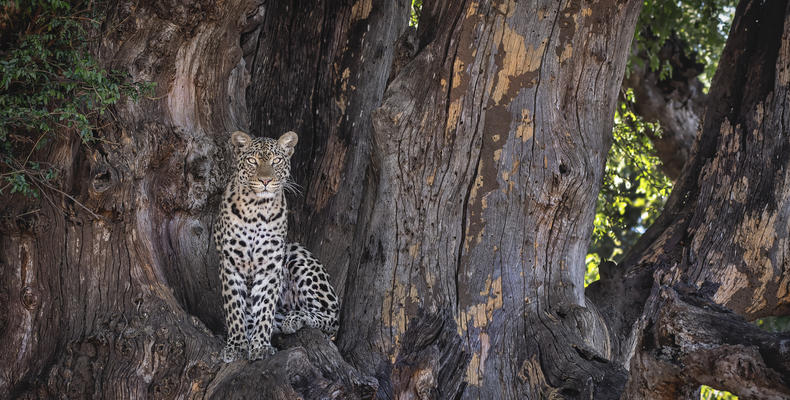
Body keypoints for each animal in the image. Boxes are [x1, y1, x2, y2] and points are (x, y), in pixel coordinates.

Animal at [214, 130, 340, 362]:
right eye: (252, 161)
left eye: (276, 161)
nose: (265, 180)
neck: (256, 209)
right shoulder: (231, 263)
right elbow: (234, 308)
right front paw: (236, 345)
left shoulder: (270, 265)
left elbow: (265, 306)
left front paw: (261, 346)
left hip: (296, 254)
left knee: (332, 318)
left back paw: (295, 318)